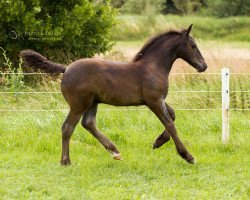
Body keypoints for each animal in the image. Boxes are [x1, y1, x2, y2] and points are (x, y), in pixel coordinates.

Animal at [21, 24, 207, 166]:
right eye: (193, 45)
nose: (203, 66)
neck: (152, 67)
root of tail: (65, 69)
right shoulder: (154, 101)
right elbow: (170, 124)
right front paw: (188, 156)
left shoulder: (155, 100)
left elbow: (173, 115)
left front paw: (157, 142)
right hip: (79, 104)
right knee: (67, 128)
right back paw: (66, 161)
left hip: (93, 102)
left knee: (88, 123)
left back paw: (115, 151)